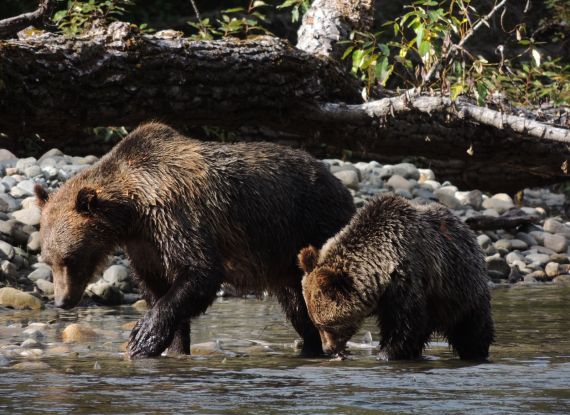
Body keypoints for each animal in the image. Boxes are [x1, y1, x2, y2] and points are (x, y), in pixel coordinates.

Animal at [34, 122, 350, 360]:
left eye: (70, 258)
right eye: (49, 260)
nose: (62, 301)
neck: (132, 209)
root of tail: (338, 182)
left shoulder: (176, 216)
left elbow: (200, 272)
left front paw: (143, 337)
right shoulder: (145, 245)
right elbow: (157, 287)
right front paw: (173, 347)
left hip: (312, 224)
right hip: (283, 257)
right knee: (296, 303)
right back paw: (310, 346)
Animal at [298, 195, 492, 360]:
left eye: (327, 325)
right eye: (315, 324)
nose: (327, 349)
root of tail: (466, 227)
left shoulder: (408, 279)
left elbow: (405, 325)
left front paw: (386, 354)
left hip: (461, 287)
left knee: (472, 328)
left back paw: (476, 352)